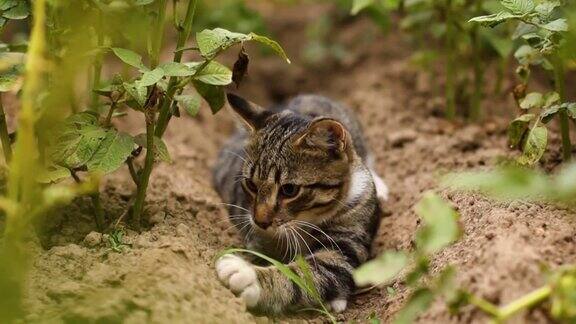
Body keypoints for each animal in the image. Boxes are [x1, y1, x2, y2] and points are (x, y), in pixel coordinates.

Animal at [212, 93, 388, 314]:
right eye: (251, 184)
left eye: (289, 190)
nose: (260, 221)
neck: (305, 221)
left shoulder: (346, 245)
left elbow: (305, 277)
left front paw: (249, 276)